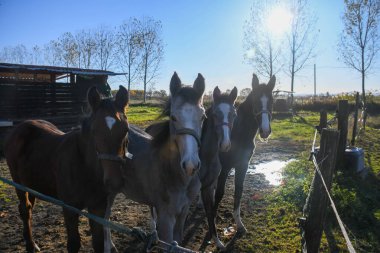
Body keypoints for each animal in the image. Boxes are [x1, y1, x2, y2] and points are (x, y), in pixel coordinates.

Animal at [4, 86, 131, 252]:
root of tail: (20, 127)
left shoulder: (98, 207)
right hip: (18, 182)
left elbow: (98, 243)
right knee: (25, 210)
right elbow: (73, 244)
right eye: (94, 131)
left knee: (29, 208)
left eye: (126, 129)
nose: (114, 182)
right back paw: (31, 245)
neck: (84, 167)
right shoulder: (70, 208)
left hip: (31, 183)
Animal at [212, 73, 274, 247]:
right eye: (256, 101)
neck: (238, 133)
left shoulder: (243, 165)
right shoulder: (225, 167)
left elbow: (238, 192)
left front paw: (239, 225)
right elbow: (219, 194)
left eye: (272, 101)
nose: (265, 131)